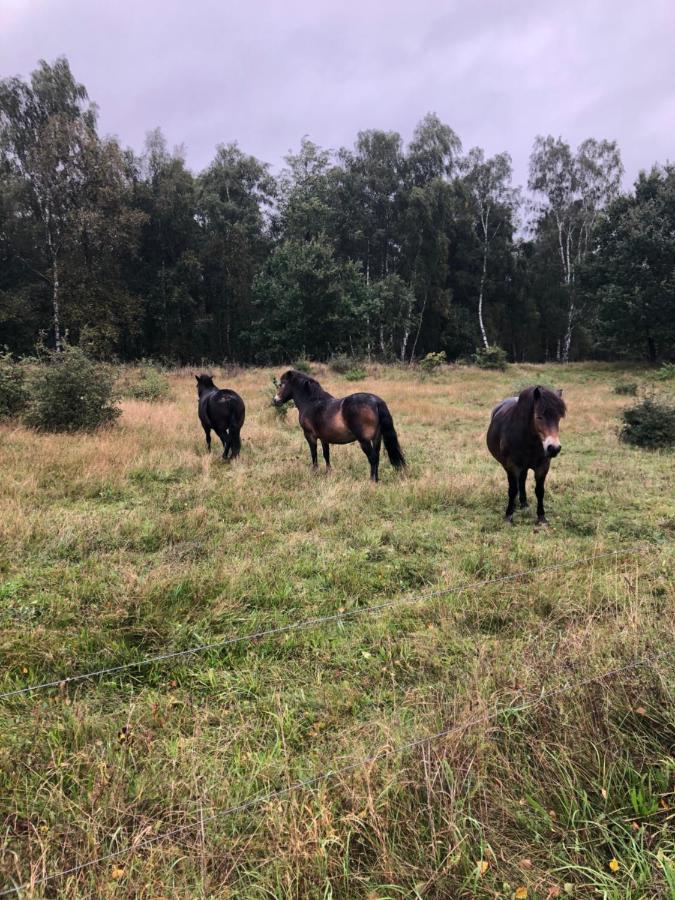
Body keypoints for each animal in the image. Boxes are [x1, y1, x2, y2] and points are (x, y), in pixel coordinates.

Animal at [270, 368, 406, 482]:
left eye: (282, 384)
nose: (275, 400)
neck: (311, 402)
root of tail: (376, 401)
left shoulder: (310, 435)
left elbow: (314, 454)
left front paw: (314, 471)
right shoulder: (324, 438)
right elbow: (326, 455)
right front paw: (328, 472)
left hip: (364, 441)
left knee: (372, 458)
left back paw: (372, 481)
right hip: (377, 439)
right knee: (376, 457)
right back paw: (376, 479)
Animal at [488, 384, 568, 524]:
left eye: (558, 417)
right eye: (539, 417)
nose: (554, 448)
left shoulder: (543, 466)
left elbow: (539, 491)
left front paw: (541, 517)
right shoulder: (512, 466)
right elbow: (512, 490)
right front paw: (509, 516)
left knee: (522, 479)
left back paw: (524, 504)